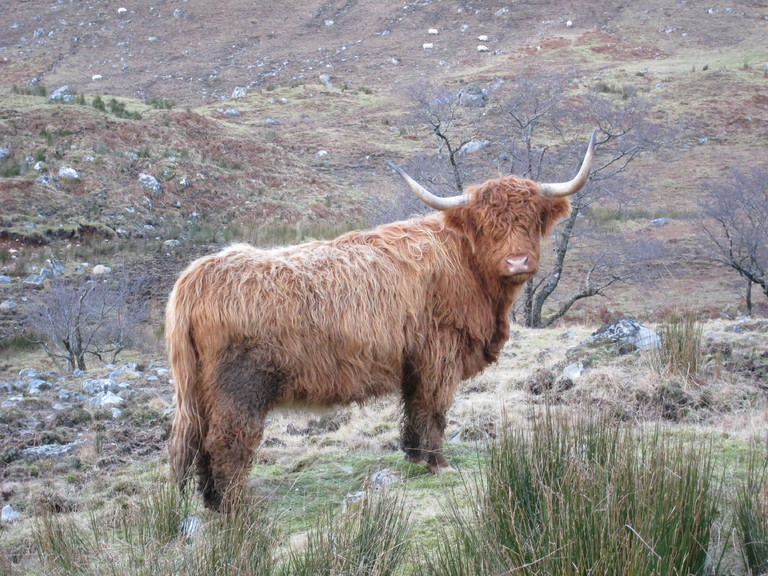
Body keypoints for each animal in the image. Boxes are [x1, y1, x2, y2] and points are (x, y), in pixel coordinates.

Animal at [168, 129, 596, 508]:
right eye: (487, 224)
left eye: (531, 219)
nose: (518, 262)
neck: (467, 266)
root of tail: (198, 274)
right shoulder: (439, 355)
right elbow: (434, 409)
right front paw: (439, 463)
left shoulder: (413, 362)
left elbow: (413, 409)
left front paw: (414, 456)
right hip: (239, 389)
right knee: (226, 441)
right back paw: (235, 505)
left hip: (200, 392)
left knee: (197, 443)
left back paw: (211, 501)